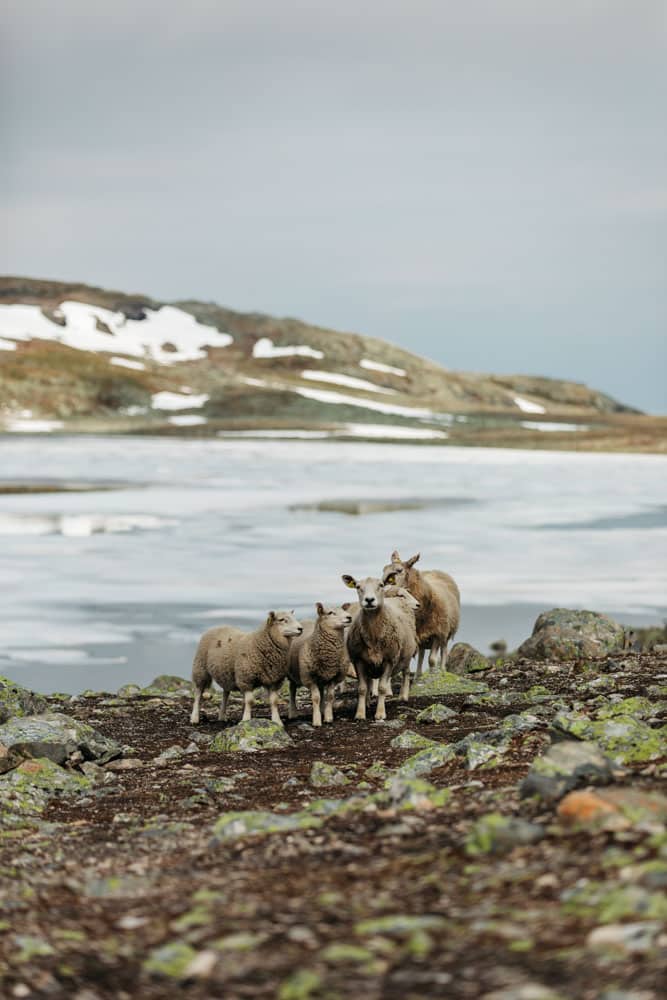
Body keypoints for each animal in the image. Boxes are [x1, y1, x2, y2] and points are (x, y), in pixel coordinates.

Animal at [288, 600, 354, 728]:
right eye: (331, 612)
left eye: (344, 610)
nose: (349, 617)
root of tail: (305, 620)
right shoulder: (309, 678)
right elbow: (316, 698)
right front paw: (317, 720)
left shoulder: (334, 677)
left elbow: (330, 696)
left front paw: (328, 717)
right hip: (293, 675)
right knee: (292, 691)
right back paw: (293, 713)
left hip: (322, 677)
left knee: (322, 692)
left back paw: (322, 710)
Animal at [342, 576, 414, 724]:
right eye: (358, 586)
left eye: (381, 585)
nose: (369, 600)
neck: (373, 635)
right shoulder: (359, 660)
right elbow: (362, 688)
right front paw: (360, 713)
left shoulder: (389, 660)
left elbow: (381, 688)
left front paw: (380, 714)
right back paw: (368, 702)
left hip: (406, 656)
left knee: (406, 673)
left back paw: (403, 696)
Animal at [380, 548, 460, 680]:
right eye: (384, 569)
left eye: (399, 571)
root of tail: (435, 570)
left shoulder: (437, 632)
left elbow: (432, 660)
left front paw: (433, 676)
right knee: (421, 654)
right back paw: (418, 675)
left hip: (446, 631)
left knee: (444, 650)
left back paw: (443, 670)